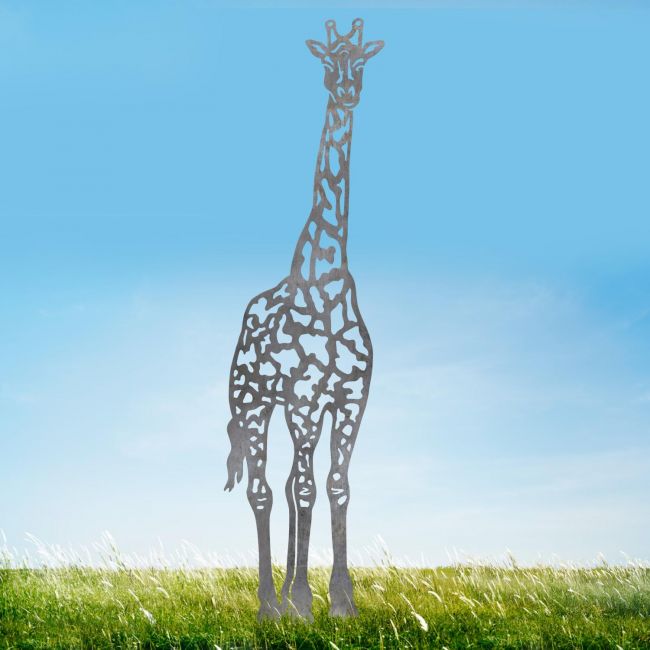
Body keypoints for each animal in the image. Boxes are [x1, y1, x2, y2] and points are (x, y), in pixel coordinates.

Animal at [224, 18, 383, 621]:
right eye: (325, 61)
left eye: (361, 60)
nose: (346, 91)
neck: (325, 282)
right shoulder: (306, 398)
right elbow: (307, 490)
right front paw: (303, 599)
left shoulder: (349, 398)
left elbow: (336, 487)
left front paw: (340, 600)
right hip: (253, 403)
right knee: (265, 490)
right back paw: (272, 603)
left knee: (292, 484)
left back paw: (292, 595)